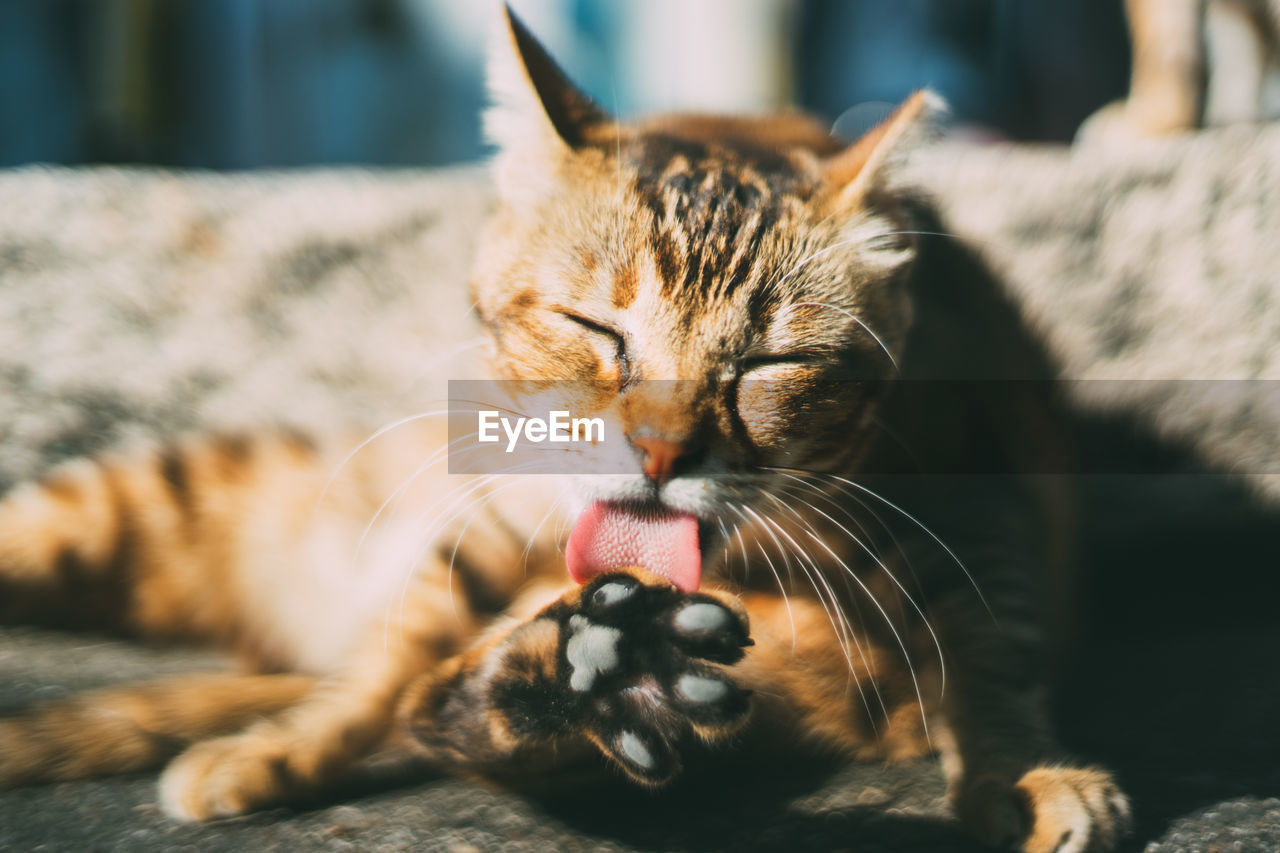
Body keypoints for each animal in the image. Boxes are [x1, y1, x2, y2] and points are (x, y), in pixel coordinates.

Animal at [2, 8, 1131, 850]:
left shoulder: (972, 491)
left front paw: (1024, 772)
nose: (663, 449)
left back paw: (584, 670)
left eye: (768, 366)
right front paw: (287, 746)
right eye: (595, 329)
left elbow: (995, 650)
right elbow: (382, 667)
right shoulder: (489, 511)